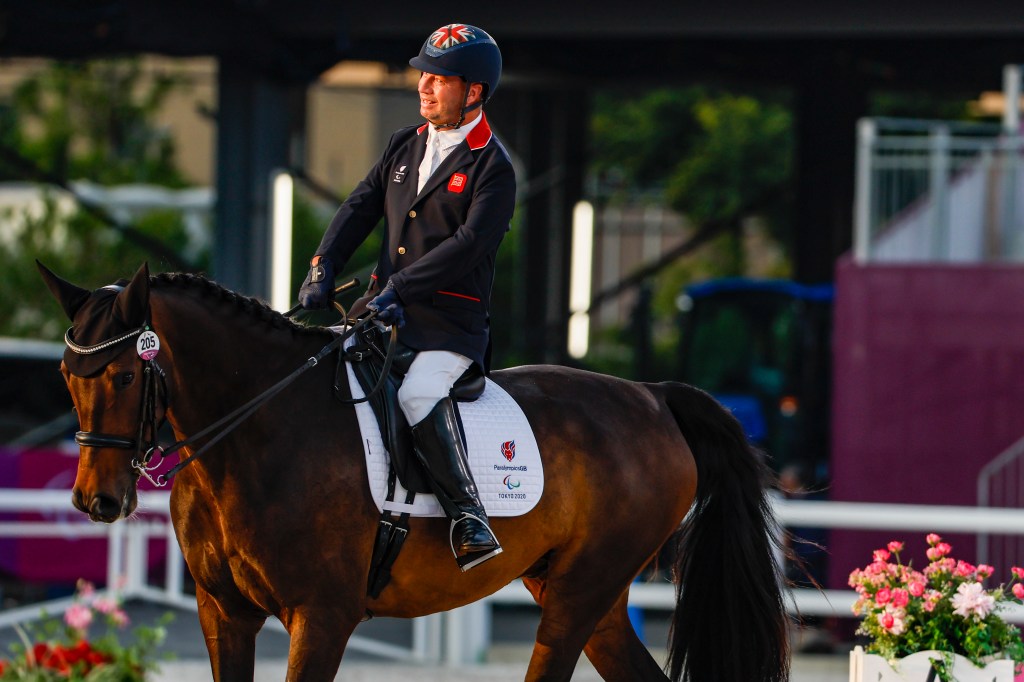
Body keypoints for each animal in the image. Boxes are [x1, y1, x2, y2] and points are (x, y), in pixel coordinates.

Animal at [37, 261, 790, 679]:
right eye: (67, 376)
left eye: (127, 374)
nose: (96, 501)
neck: (255, 431)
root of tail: (655, 396)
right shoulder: (224, 612)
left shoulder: (322, 616)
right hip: (586, 594)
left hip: (581, 592)